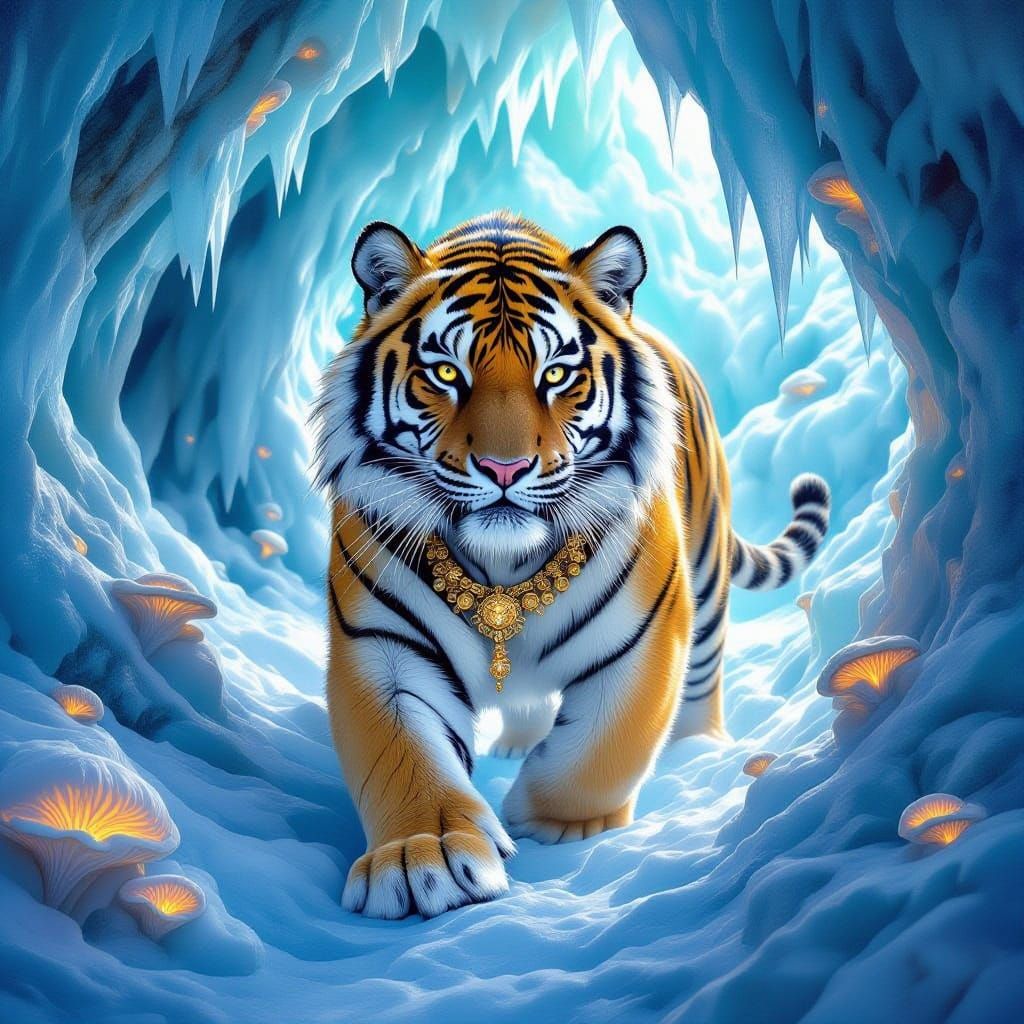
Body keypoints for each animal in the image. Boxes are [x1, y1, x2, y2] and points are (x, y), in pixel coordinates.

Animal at [314, 211, 830, 920]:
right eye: (445, 373)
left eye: (557, 374)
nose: (504, 469)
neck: (503, 567)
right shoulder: (383, 645)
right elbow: (403, 757)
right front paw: (426, 858)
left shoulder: (646, 637)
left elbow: (602, 751)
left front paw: (546, 823)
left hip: (705, 574)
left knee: (703, 676)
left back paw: (696, 745)